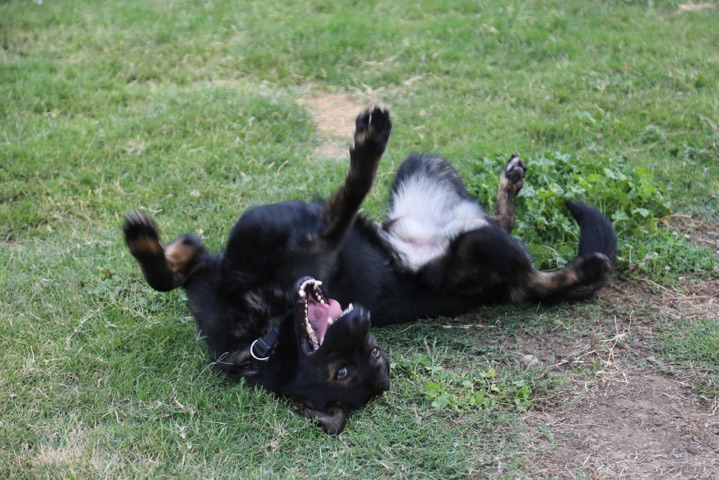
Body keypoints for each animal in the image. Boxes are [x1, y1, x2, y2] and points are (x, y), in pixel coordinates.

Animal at [123, 106, 617, 434]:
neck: (267, 335)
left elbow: (347, 197)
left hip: (458, 218)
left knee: (533, 280)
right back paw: (513, 191)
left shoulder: (306, 240)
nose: (361, 316)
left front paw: (368, 146)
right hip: (440, 189)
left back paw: (577, 252)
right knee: (511, 245)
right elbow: (166, 275)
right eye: (342, 373)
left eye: (371, 354)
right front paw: (161, 247)